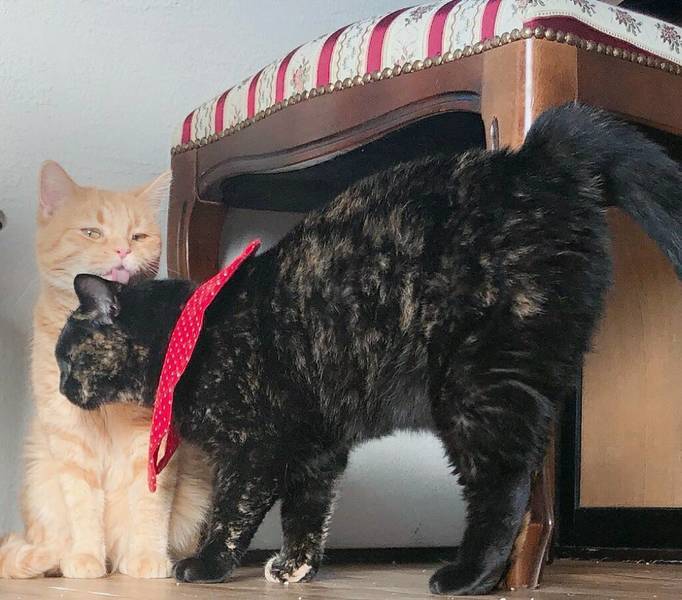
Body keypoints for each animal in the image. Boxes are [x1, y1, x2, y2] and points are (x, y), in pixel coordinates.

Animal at [0, 161, 212, 579]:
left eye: (138, 236)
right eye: (91, 232)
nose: (123, 249)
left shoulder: (152, 432)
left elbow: (149, 498)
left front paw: (146, 556)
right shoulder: (69, 433)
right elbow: (82, 502)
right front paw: (84, 557)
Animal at [54, 104, 682, 595]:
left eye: (68, 355)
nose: (59, 387)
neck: (192, 334)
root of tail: (534, 159)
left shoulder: (256, 448)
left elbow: (231, 511)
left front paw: (206, 564)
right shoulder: (315, 449)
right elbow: (307, 511)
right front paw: (296, 567)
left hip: (475, 385)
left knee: (503, 482)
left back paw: (469, 575)